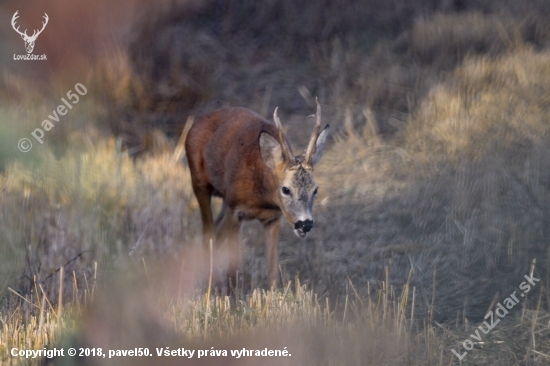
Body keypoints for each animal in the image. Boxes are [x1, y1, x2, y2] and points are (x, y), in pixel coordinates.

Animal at [185, 98, 332, 288]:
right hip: (199, 182)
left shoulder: (273, 218)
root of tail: (196, 123)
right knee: (208, 232)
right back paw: (212, 282)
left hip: (224, 200)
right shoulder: (235, 210)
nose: (304, 224)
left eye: (315, 189)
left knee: (216, 231)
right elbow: (233, 268)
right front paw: (231, 294)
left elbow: (272, 271)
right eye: (286, 189)